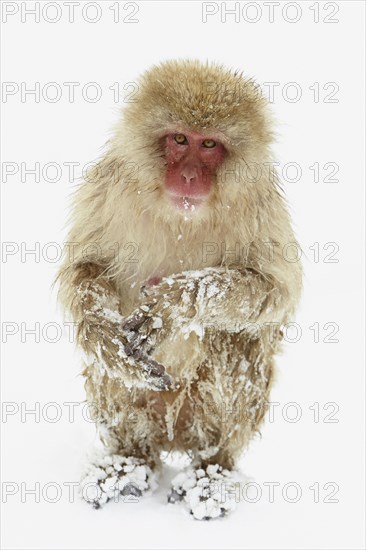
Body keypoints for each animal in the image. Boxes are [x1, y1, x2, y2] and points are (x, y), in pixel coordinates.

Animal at [57, 60, 302, 520]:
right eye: (180, 139)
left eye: (209, 144)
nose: (188, 175)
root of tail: (173, 437)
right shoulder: (108, 186)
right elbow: (86, 270)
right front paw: (102, 330)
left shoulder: (260, 207)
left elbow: (275, 292)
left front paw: (176, 303)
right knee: (120, 384)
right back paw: (130, 463)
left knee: (233, 348)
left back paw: (211, 475)